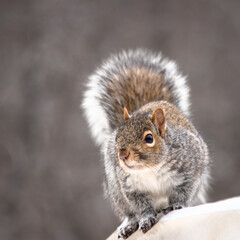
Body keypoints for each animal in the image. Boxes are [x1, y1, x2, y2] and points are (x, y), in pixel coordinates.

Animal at [82, 48, 210, 238]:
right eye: (117, 137)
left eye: (149, 138)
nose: (122, 155)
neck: (150, 169)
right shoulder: (130, 187)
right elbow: (141, 206)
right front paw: (146, 217)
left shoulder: (190, 168)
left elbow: (183, 192)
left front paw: (176, 205)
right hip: (116, 192)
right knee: (129, 212)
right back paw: (129, 224)